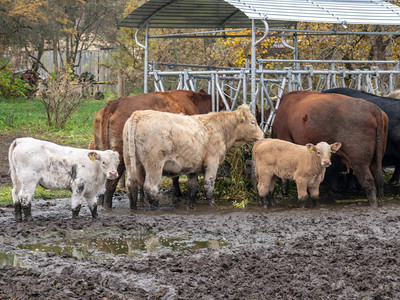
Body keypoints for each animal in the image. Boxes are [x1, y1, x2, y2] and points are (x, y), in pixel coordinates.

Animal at [123, 104, 264, 207]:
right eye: (253, 122)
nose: (262, 135)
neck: (219, 128)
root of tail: (138, 114)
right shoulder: (212, 162)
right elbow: (208, 185)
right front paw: (212, 205)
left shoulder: (192, 166)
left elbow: (193, 187)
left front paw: (190, 205)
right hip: (154, 164)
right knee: (151, 188)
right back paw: (155, 207)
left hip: (131, 162)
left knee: (131, 185)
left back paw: (133, 207)